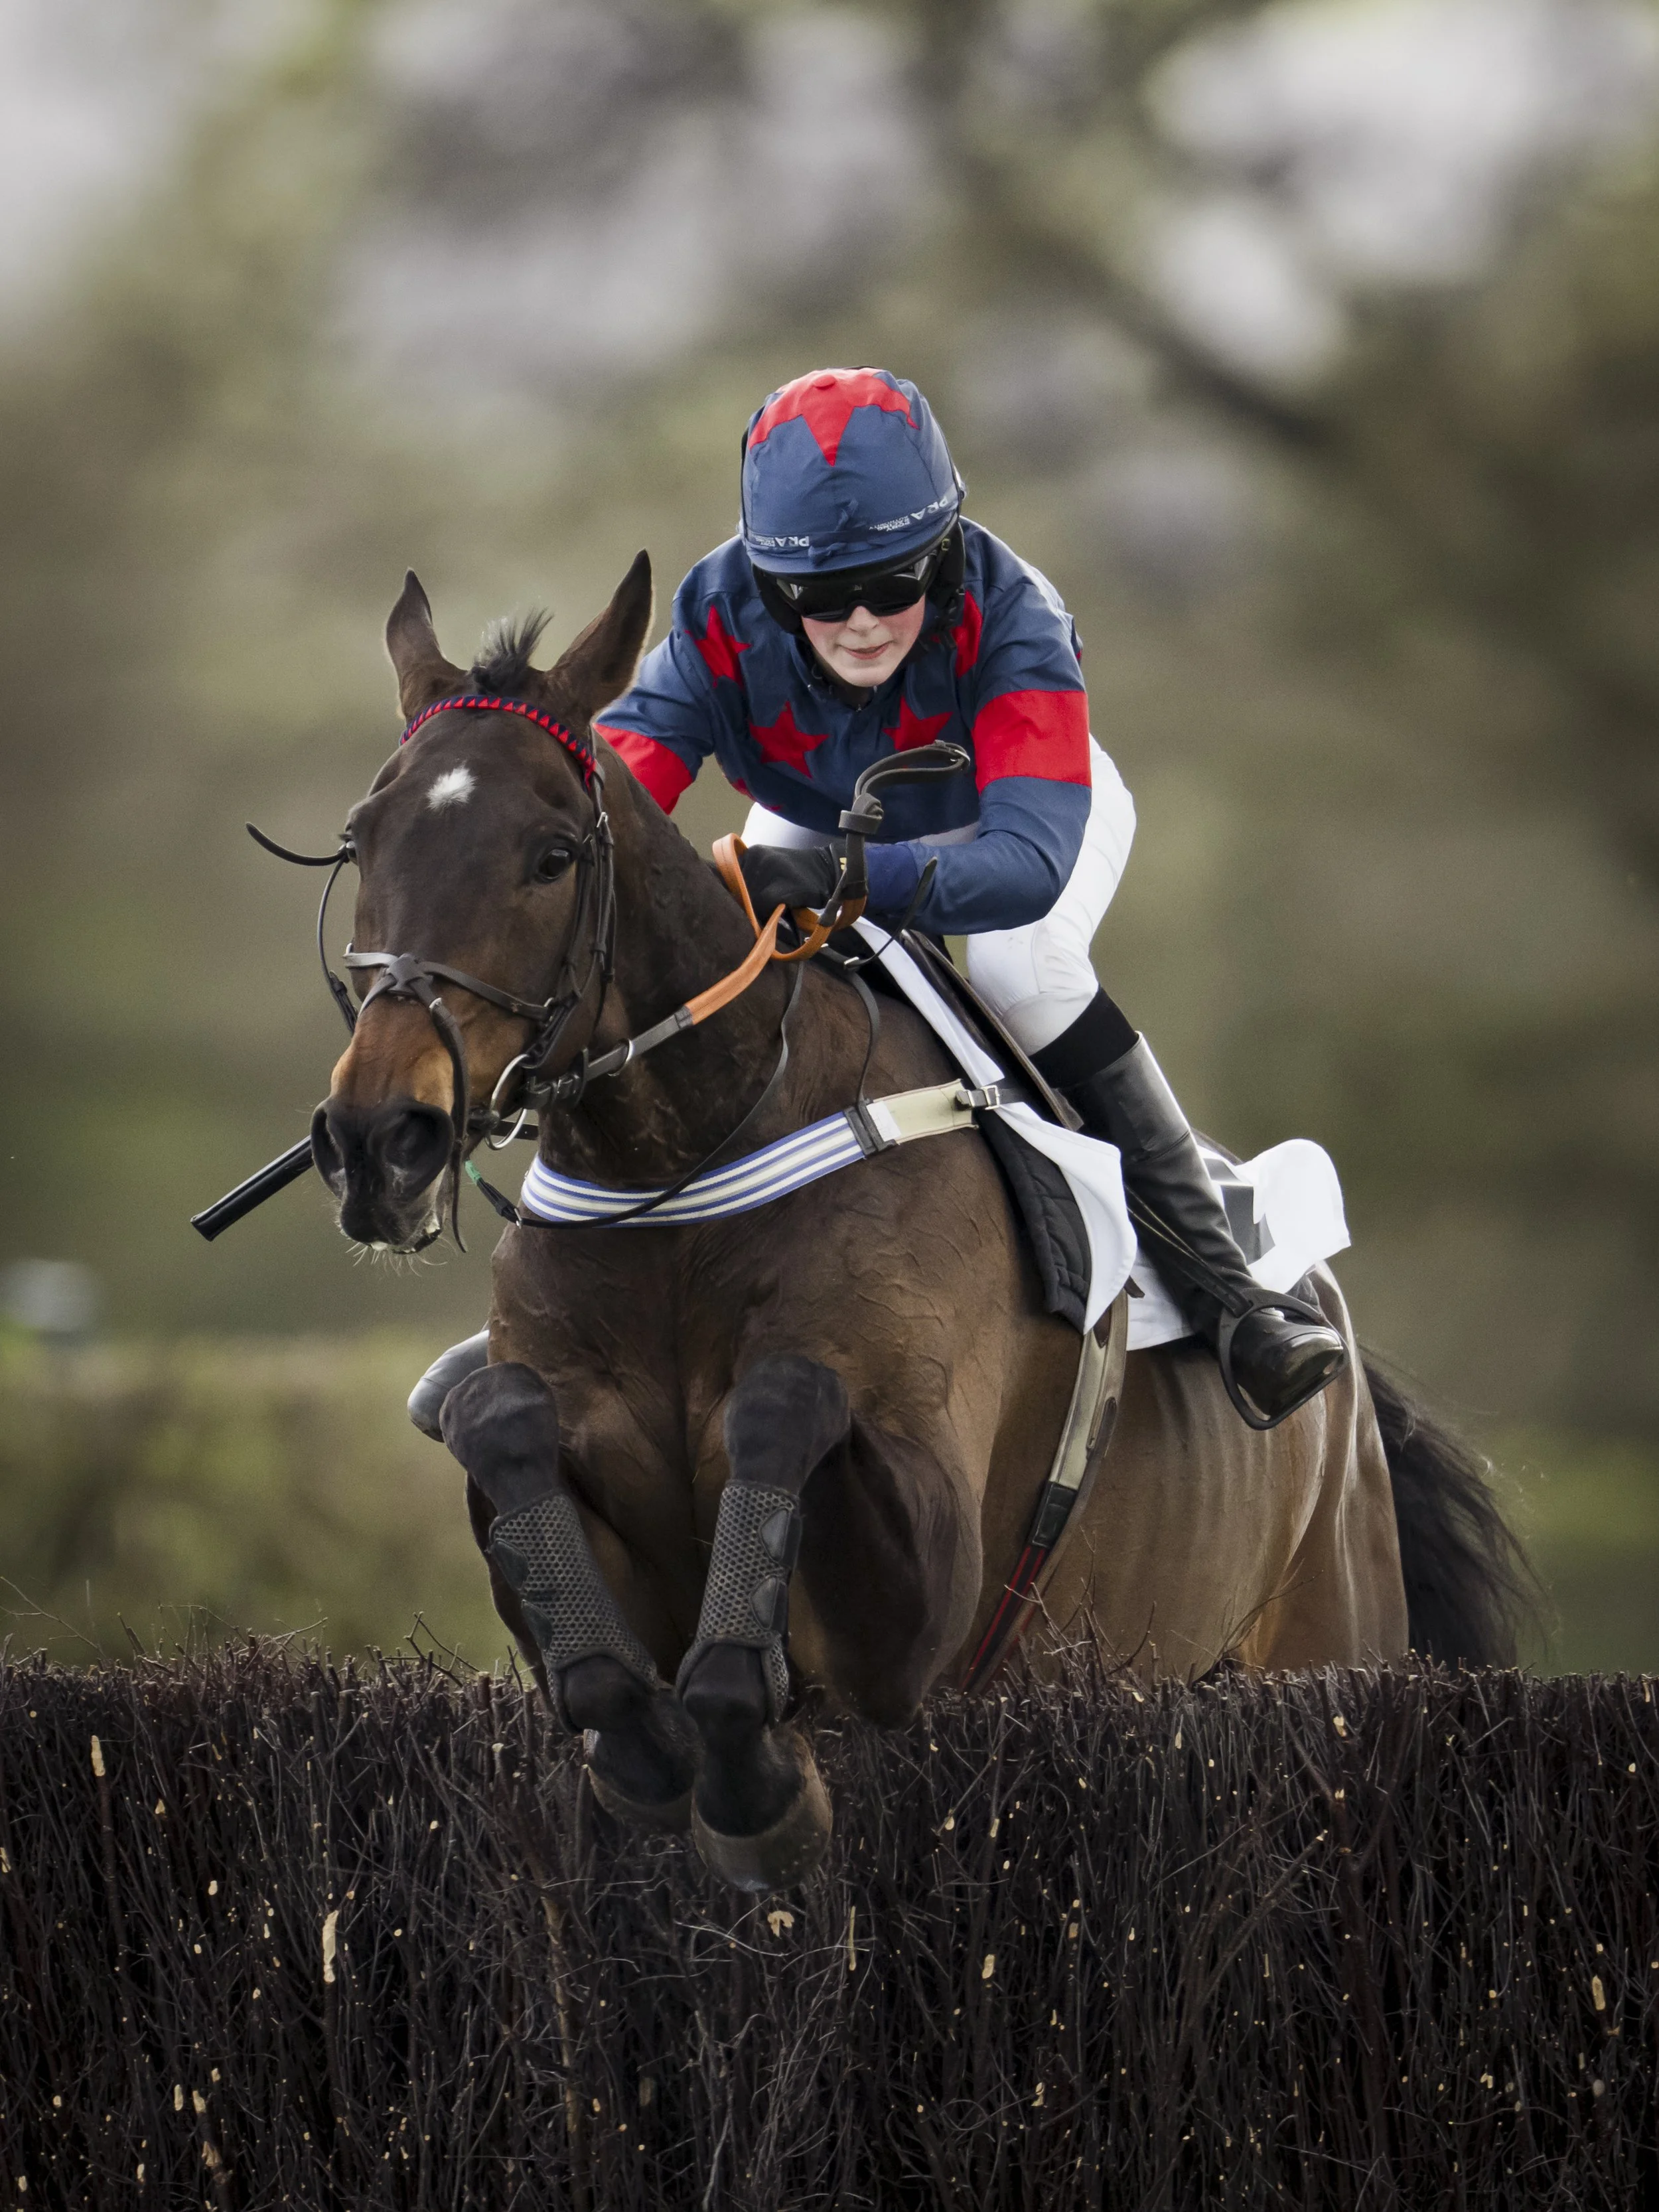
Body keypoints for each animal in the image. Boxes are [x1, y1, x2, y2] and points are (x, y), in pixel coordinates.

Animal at [310, 553, 1530, 1894]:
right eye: (361, 840)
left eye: (551, 854)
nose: (379, 1138)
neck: (688, 1168)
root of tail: (1340, 1347)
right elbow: (506, 1432)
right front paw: (652, 1746)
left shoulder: (922, 1610)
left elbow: (786, 1401)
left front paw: (757, 1781)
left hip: (1329, 1642)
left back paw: (1270, 1337)